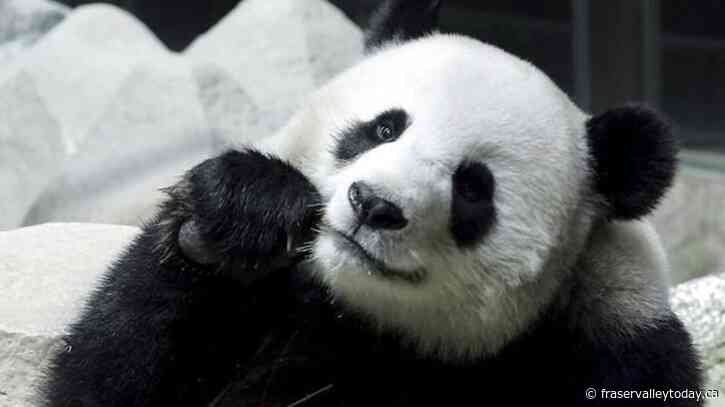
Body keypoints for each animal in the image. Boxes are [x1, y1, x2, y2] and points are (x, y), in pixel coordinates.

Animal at [42, 1, 703, 406]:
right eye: (384, 128)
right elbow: (97, 378)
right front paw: (243, 210)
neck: (365, 320)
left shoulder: (618, 343)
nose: (373, 204)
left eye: (473, 188)